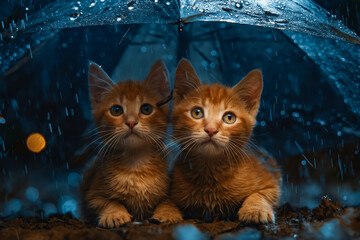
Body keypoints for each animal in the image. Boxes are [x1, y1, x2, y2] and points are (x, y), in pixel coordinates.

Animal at [81, 60, 183, 229]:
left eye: (146, 109)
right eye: (116, 110)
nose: (131, 122)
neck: (136, 164)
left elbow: (169, 200)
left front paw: (167, 213)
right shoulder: (92, 192)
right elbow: (107, 201)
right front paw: (114, 214)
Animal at [172, 59, 282, 223]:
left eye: (229, 117)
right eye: (197, 113)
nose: (211, 130)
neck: (210, 170)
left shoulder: (272, 181)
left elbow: (261, 193)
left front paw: (255, 209)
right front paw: (166, 212)